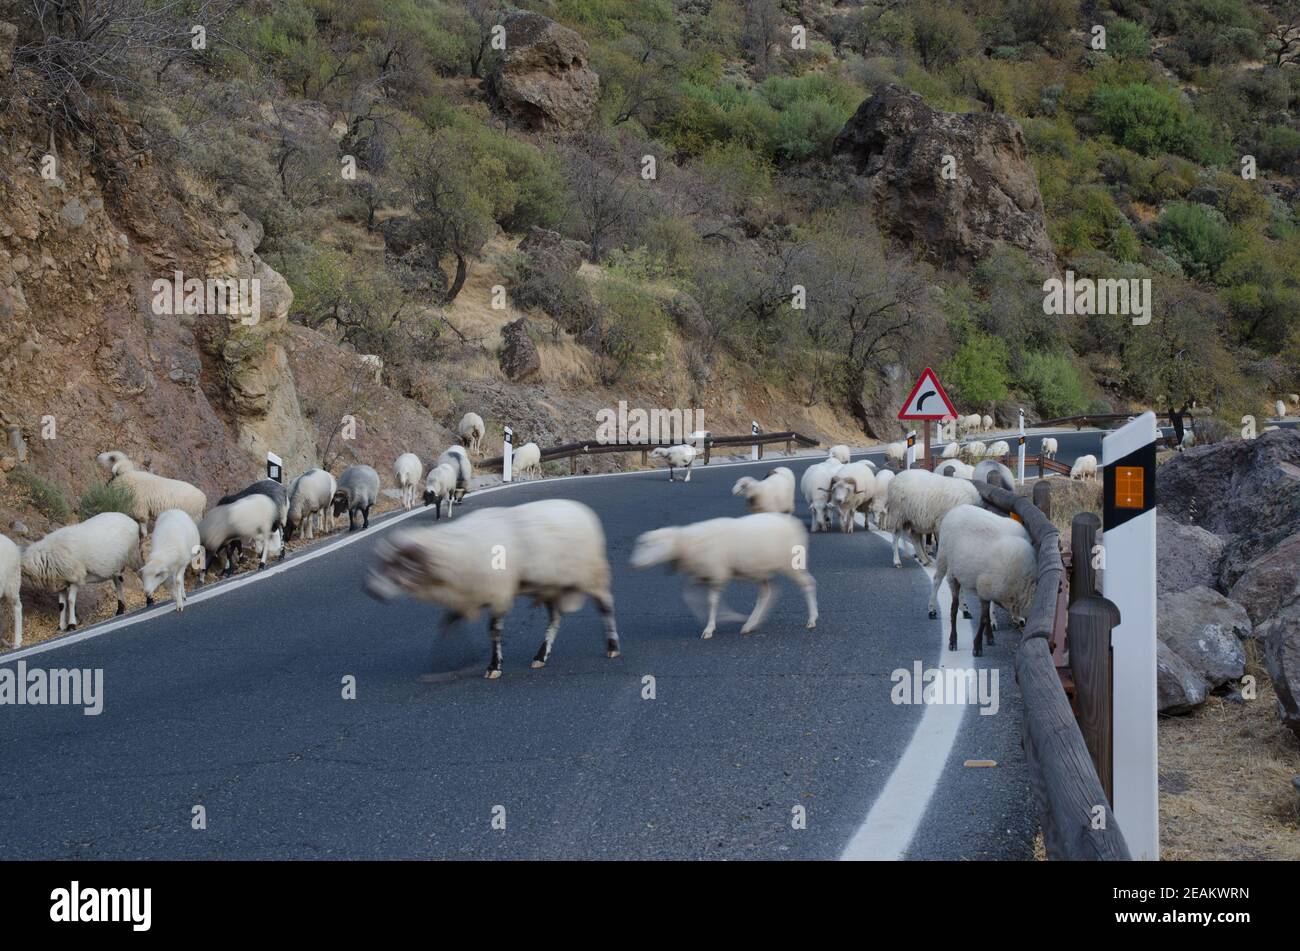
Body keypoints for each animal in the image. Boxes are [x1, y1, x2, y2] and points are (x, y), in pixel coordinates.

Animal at [364, 501, 621, 680]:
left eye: (397, 564)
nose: (371, 592)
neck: (453, 551)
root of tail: (582, 510)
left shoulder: (498, 593)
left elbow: (493, 631)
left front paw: (493, 667)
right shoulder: (467, 595)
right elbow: (449, 622)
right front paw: (446, 659)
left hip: (593, 575)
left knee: (605, 606)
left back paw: (612, 647)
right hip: (551, 587)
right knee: (555, 620)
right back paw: (540, 656)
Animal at [626, 511, 811, 639]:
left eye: (649, 544)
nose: (632, 565)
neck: (687, 543)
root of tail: (794, 522)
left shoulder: (717, 574)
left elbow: (711, 601)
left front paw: (710, 628)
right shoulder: (702, 575)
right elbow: (689, 597)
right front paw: (726, 617)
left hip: (791, 564)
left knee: (808, 584)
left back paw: (812, 620)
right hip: (758, 571)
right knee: (768, 592)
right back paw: (751, 623)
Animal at [930, 509, 1029, 657]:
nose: (1023, 622)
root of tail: (956, 509)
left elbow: (986, 613)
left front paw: (989, 635)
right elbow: (984, 616)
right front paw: (980, 643)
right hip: (945, 558)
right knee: (939, 583)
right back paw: (935, 613)